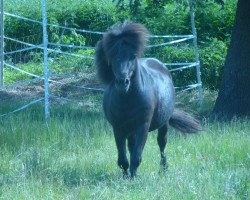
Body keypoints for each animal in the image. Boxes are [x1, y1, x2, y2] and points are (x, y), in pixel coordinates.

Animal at [94, 22, 200, 178]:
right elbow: (122, 158)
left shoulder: (142, 126)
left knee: (162, 144)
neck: (127, 101)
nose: (122, 82)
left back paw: (163, 169)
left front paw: (133, 177)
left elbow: (136, 156)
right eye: (113, 55)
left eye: (133, 56)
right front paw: (126, 176)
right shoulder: (118, 128)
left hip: (163, 124)